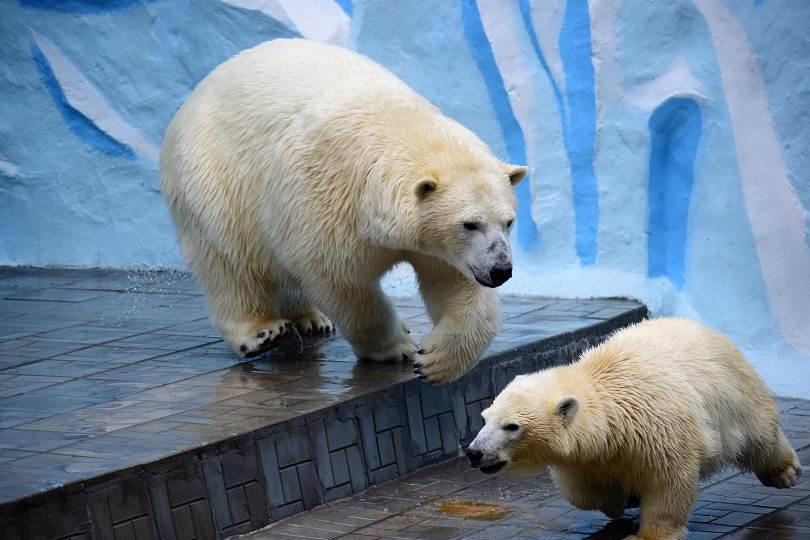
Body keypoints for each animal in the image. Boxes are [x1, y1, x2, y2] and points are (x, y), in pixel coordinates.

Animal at [160, 39, 528, 384]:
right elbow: (342, 283)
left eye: (508, 222)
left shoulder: (444, 247)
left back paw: (310, 319)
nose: (500, 271)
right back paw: (261, 332)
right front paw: (397, 347)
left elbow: (455, 281)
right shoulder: (326, 202)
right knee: (230, 263)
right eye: (469, 224)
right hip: (212, 181)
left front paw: (435, 360)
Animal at [464, 318, 800, 536]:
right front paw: (621, 499)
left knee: (759, 436)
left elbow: (669, 482)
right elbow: (581, 491)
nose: (474, 452)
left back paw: (784, 472)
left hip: (733, 395)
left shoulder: (658, 430)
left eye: (511, 426)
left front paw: (647, 533)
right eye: (485, 418)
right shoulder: (583, 457)